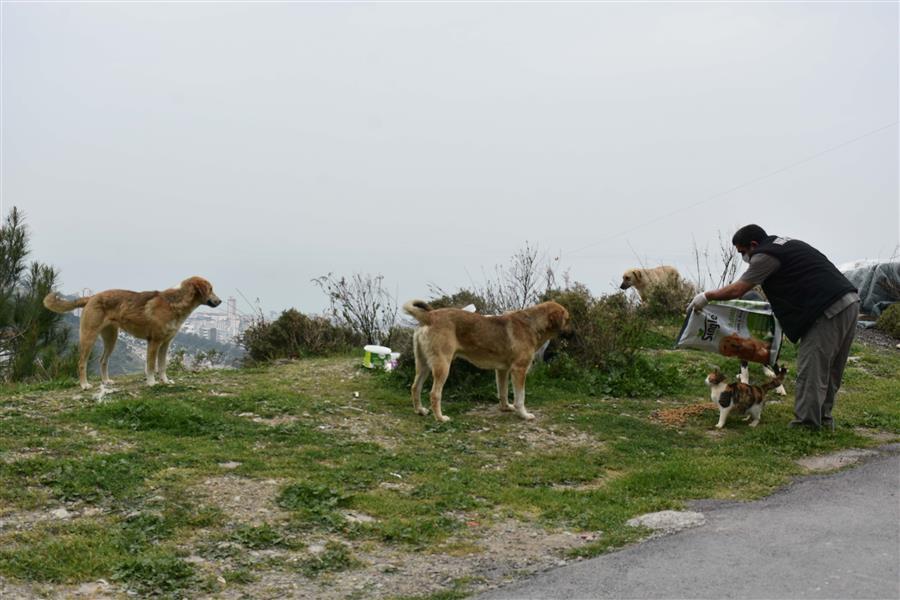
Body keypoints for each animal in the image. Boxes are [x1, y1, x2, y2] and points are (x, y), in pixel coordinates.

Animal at [43, 276, 222, 390]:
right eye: (210, 289)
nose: (220, 301)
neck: (174, 303)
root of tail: (92, 297)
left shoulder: (165, 344)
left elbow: (162, 366)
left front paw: (165, 381)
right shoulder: (154, 342)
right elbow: (151, 366)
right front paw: (151, 383)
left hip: (111, 338)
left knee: (103, 360)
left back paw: (106, 381)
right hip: (89, 337)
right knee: (82, 362)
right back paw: (84, 385)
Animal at [402, 300, 568, 422]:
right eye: (567, 319)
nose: (571, 332)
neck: (532, 324)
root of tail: (430, 316)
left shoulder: (502, 370)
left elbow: (503, 392)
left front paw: (505, 408)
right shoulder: (519, 370)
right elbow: (520, 398)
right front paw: (524, 415)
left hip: (423, 366)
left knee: (415, 387)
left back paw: (420, 410)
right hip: (442, 367)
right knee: (434, 394)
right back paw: (440, 418)